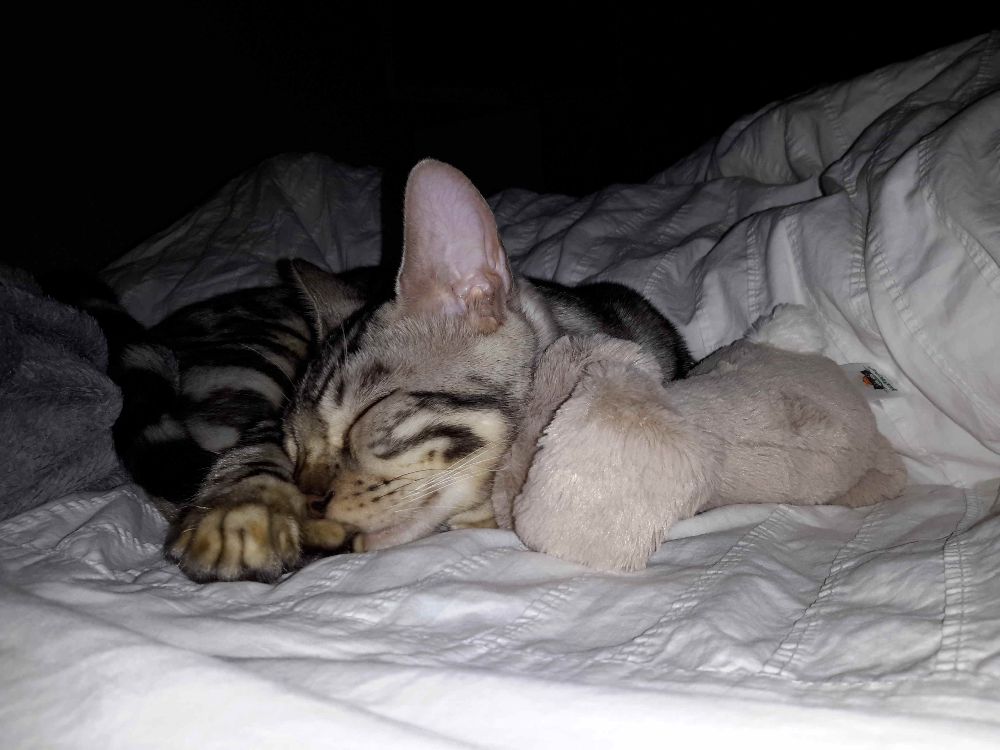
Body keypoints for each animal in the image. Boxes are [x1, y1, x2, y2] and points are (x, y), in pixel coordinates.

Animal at [105, 159, 693, 582]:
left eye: (368, 415)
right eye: (294, 448)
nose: (312, 503)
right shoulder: (262, 427)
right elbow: (246, 454)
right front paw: (241, 508)